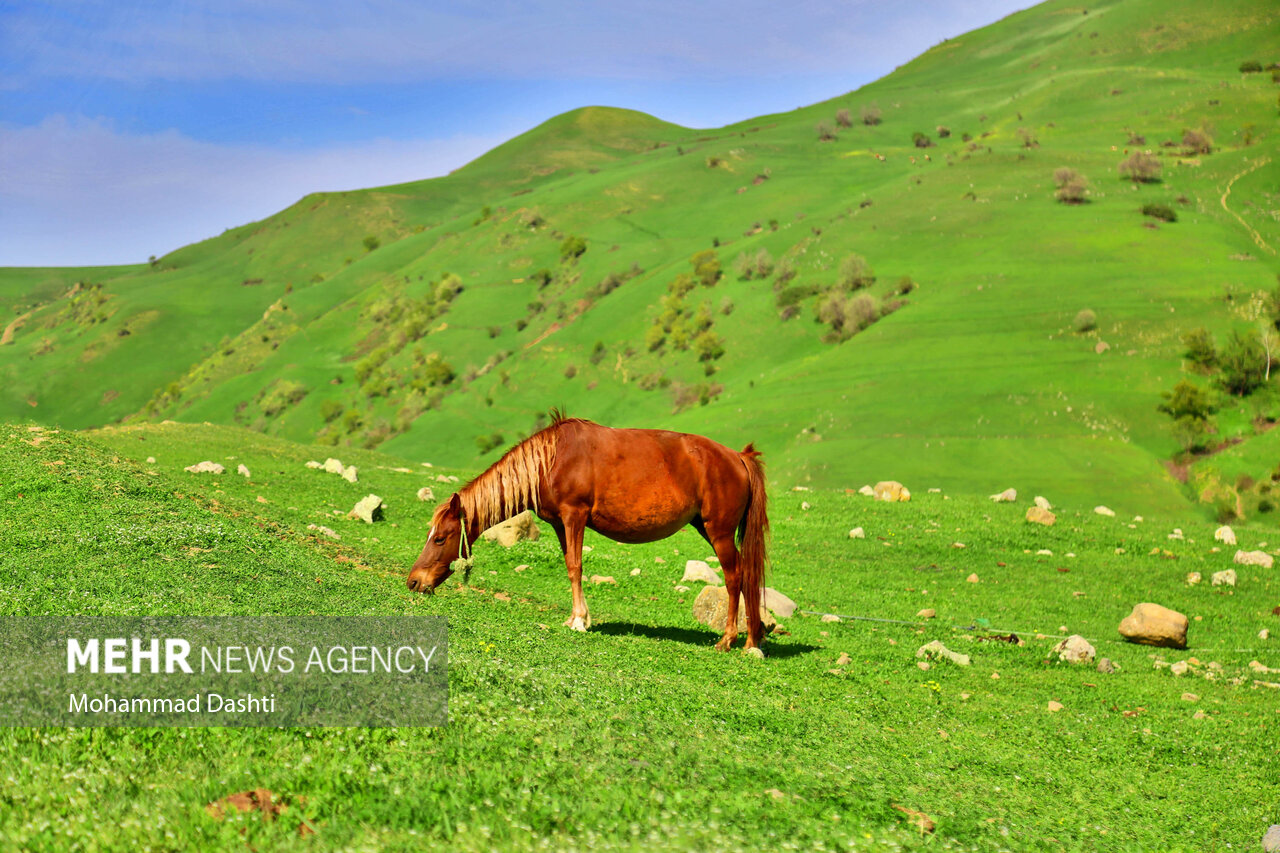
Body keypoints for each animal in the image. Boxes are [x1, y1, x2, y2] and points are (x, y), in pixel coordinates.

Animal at [407, 409, 768, 648]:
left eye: (440, 538)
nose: (413, 582)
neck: (551, 460)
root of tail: (738, 457)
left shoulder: (574, 516)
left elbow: (576, 566)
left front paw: (580, 620)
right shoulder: (559, 524)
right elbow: (570, 564)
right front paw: (574, 617)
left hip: (719, 532)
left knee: (735, 576)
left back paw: (729, 640)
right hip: (707, 527)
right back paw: (752, 641)